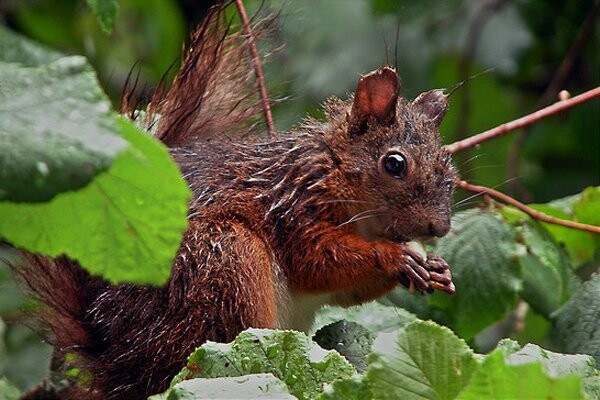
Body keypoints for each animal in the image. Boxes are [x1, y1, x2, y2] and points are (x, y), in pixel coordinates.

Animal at [12, 3, 454, 400]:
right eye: (394, 163)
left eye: (449, 169)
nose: (439, 227)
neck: (334, 171)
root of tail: (119, 367)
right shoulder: (294, 208)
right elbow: (317, 262)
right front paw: (396, 258)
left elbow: (344, 293)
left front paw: (435, 269)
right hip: (223, 261)